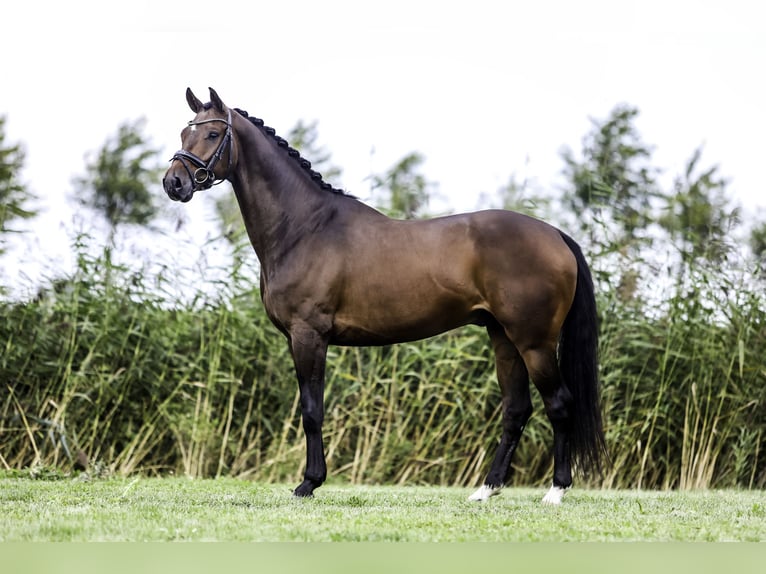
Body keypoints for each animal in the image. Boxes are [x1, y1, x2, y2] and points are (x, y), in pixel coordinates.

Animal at [165, 88, 608, 506]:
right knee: (516, 410)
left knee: (559, 405)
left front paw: (309, 483)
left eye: (213, 133)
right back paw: (487, 489)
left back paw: (556, 491)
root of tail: (555, 235)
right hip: (503, 337)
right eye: (185, 132)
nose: (174, 183)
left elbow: (312, 411)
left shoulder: (308, 335)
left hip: (534, 342)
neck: (306, 228)